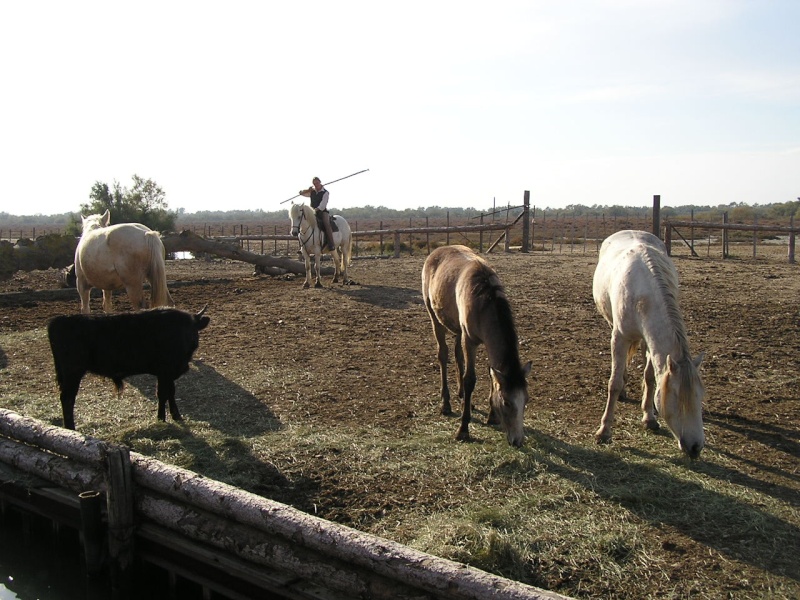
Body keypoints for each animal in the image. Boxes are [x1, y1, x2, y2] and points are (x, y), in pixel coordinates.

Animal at [418, 244, 532, 446]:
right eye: (507, 402)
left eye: (526, 400)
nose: (518, 441)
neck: (484, 301)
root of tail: (437, 251)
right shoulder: (470, 340)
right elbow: (470, 378)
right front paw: (463, 429)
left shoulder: (484, 341)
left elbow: (491, 374)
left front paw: (492, 415)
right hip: (435, 318)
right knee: (443, 355)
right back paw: (446, 403)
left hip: (457, 328)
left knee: (457, 356)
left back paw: (463, 397)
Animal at [592, 231, 704, 460]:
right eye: (677, 397)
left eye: (700, 397)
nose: (696, 447)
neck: (643, 295)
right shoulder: (619, 337)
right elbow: (614, 383)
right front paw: (604, 431)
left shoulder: (650, 342)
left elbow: (651, 378)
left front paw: (649, 417)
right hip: (612, 325)